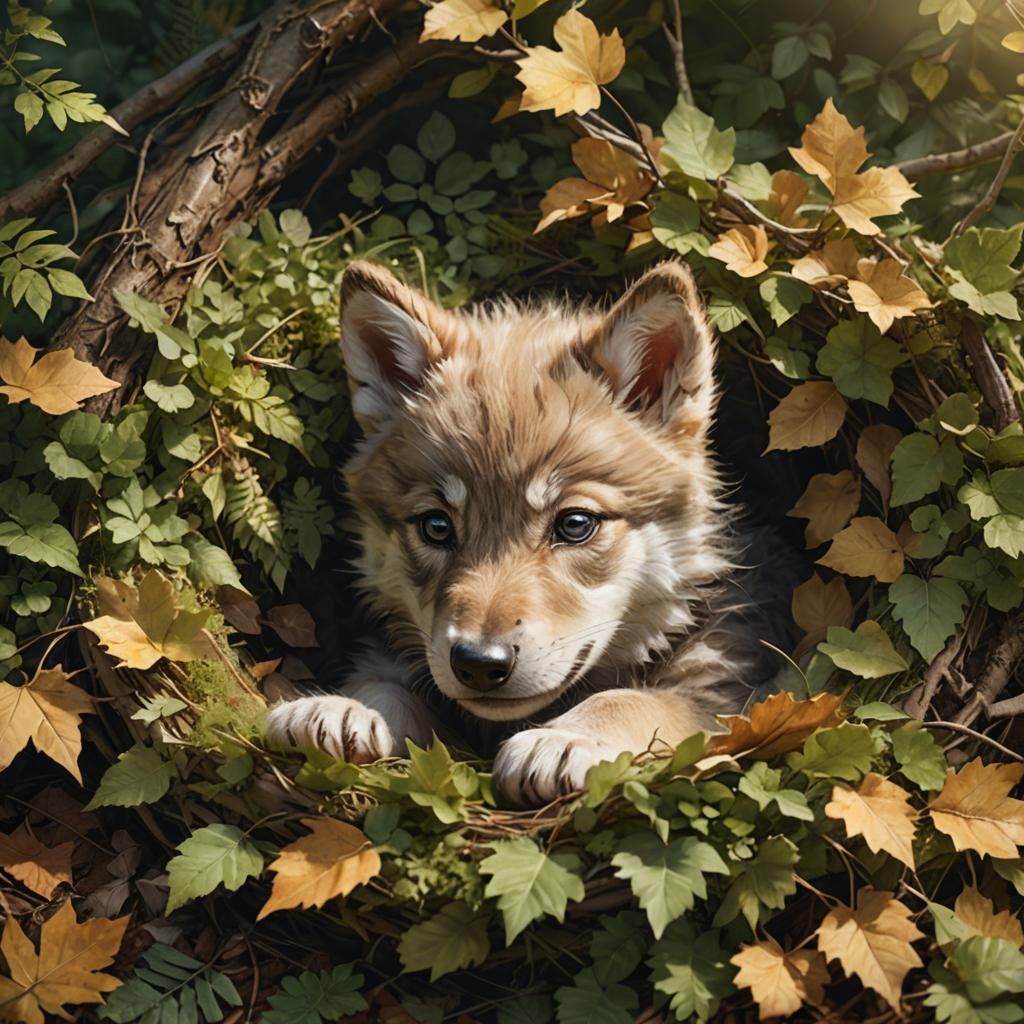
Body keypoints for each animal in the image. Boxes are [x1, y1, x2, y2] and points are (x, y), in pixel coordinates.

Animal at [264, 259, 797, 804]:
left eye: (576, 524)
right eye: (436, 526)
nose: (479, 663)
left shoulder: (724, 700)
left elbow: (629, 700)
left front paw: (564, 739)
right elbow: (387, 686)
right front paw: (342, 707)